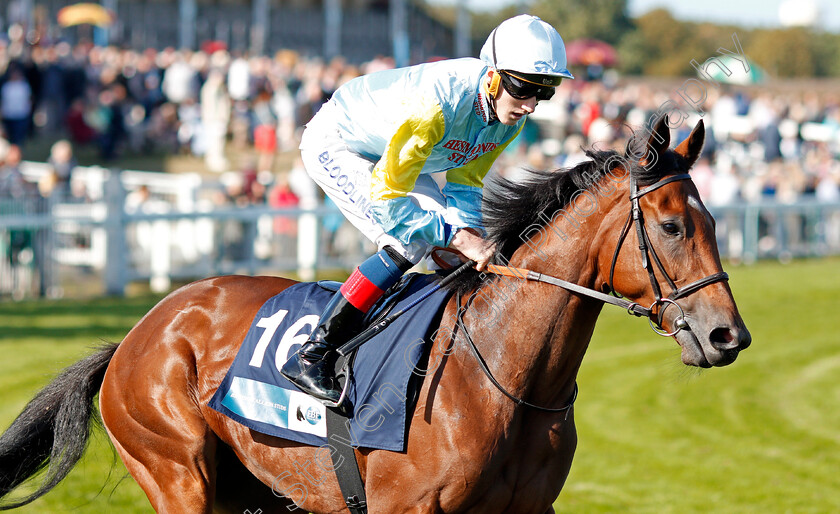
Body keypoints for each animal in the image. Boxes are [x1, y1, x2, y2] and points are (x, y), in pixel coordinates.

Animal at [0, 116, 748, 512]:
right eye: (673, 226)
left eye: (716, 221)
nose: (727, 335)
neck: (504, 375)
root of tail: (136, 336)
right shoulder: (404, 506)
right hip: (179, 474)